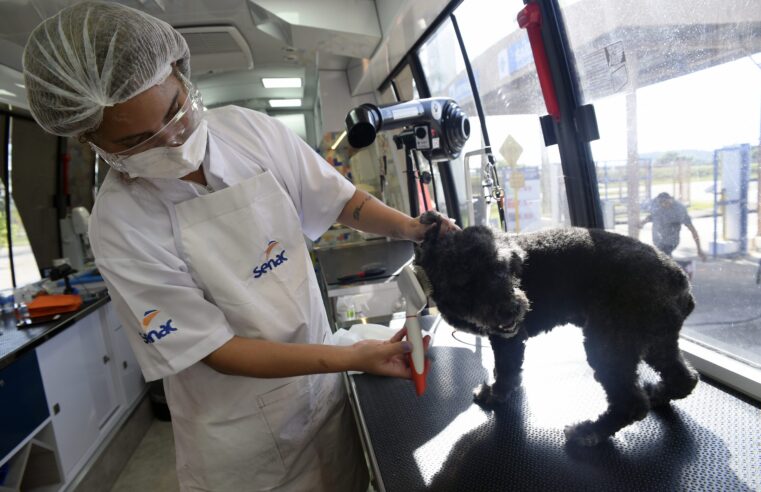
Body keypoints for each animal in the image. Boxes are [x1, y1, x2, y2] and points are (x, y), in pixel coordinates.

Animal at [412, 211, 696, 446]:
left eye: (501, 269)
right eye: (465, 282)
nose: (512, 309)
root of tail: (679, 279)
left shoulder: (507, 339)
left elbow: (505, 370)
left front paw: (495, 394)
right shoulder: (506, 335)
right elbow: (508, 369)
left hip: (609, 343)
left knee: (632, 403)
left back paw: (589, 432)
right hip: (656, 338)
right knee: (685, 378)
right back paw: (657, 393)